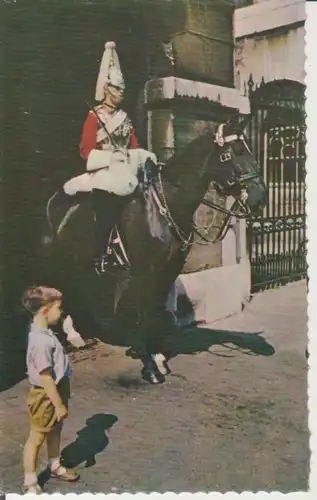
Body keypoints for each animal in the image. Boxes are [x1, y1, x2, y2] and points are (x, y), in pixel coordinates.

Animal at [35, 116, 266, 382]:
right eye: (231, 153)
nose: (261, 197)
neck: (164, 206)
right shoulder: (147, 270)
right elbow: (144, 310)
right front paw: (150, 365)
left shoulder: (169, 269)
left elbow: (155, 308)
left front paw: (157, 356)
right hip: (55, 260)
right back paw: (68, 337)